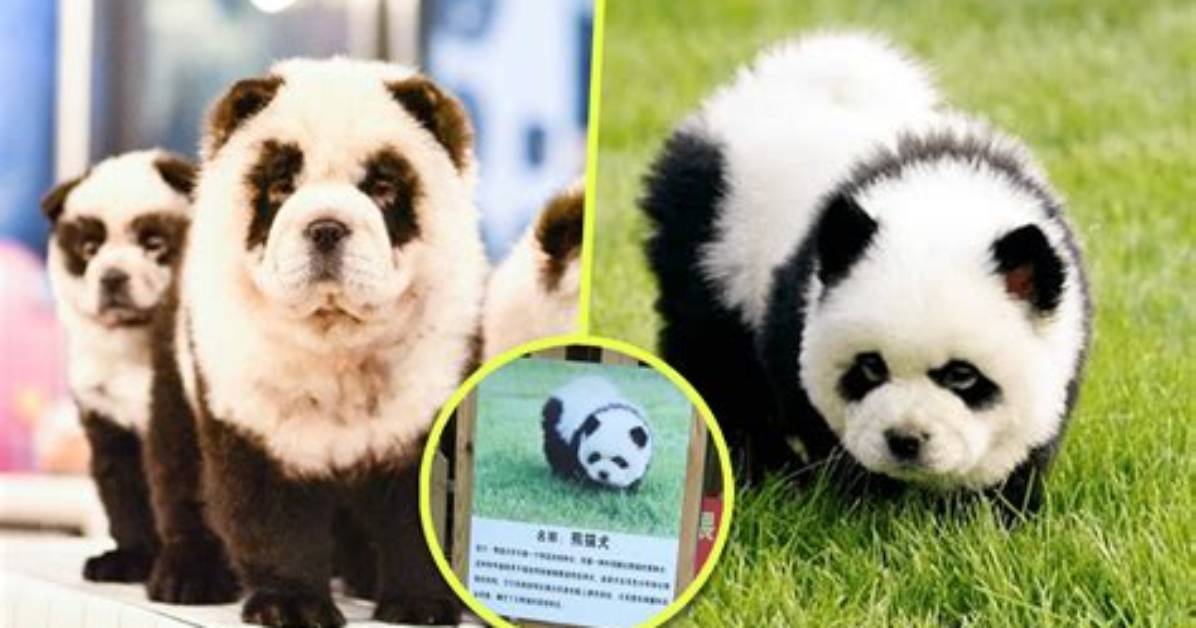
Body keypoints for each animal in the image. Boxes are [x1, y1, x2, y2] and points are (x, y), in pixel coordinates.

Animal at [641, 32, 1091, 515]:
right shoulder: (797, 303)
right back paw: (757, 470)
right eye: (871, 367)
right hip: (713, 242)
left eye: (962, 375)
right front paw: (867, 505)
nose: (905, 440)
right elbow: (815, 412)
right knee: (716, 362)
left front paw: (994, 511)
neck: (942, 202)